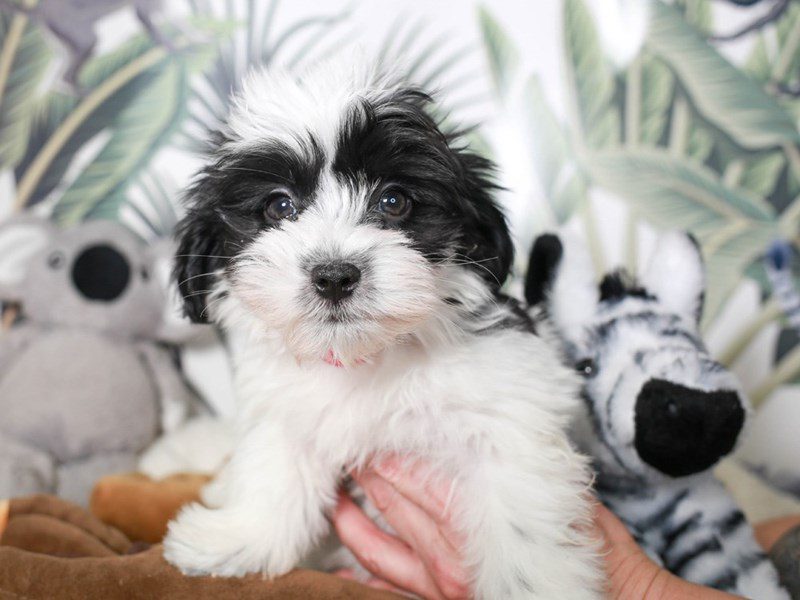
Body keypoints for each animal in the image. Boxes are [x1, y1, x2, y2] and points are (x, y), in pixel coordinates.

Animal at [164, 57, 600, 600]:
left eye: (394, 201)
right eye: (278, 207)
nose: (334, 275)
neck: (366, 357)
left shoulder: (509, 410)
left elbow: (523, 516)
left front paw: (531, 586)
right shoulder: (286, 413)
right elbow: (276, 472)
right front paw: (238, 538)